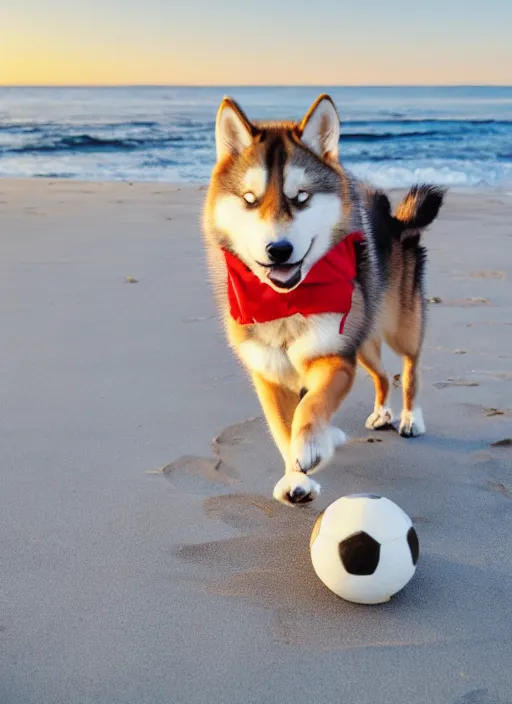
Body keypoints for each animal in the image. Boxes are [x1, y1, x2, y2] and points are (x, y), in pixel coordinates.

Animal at [203, 95, 444, 506]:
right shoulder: (270, 376)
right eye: (250, 200)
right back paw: (382, 414)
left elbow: (312, 405)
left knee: (410, 368)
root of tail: (396, 221)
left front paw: (312, 445)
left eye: (301, 197)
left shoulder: (332, 357)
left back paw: (410, 418)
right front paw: (295, 478)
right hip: (363, 339)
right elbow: (283, 428)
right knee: (383, 376)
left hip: (400, 325)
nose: (279, 250)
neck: (286, 301)